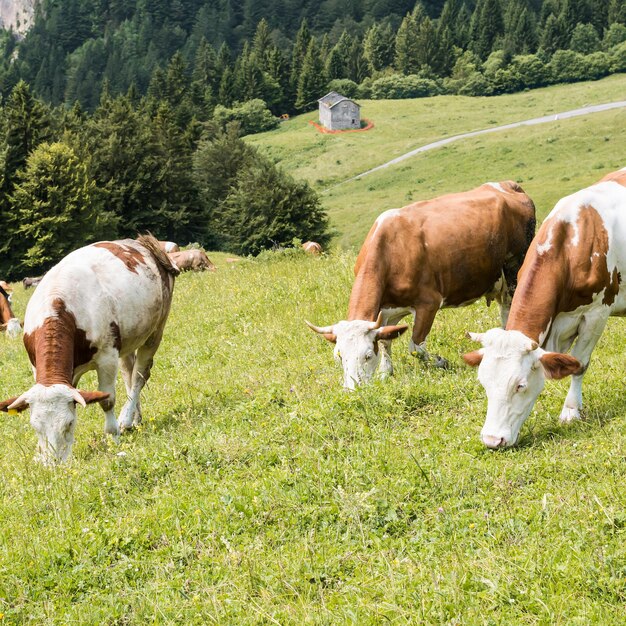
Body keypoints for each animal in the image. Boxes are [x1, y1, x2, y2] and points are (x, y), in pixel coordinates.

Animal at [1, 232, 179, 460]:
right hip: (127, 340)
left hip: (155, 331)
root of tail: (140, 243)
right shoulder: (40, 369)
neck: (59, 307)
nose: (54, 463)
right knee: (129, 373)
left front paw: (113, 436)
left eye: (68, 424)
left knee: (140, 375)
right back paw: (134, 418)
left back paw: (125, 419)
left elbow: (107, 400)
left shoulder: (107, 358)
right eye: (35, 426)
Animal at [304, 178, 532, 388]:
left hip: (514, 268)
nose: (353, 389)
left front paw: (440, 361)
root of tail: (507, 184)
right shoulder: (387, 310)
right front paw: (385, 373)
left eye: (367, 355)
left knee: (509, 307)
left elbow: (416, 347)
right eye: (339, 356)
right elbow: (386, 341)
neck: (389, 251)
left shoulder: (428, 303)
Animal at [464, 168, 624, 446]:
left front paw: (571, 410)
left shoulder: (597, 313)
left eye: (520, 385)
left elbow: (580, 363)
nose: (492, 440)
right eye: (484, 383)